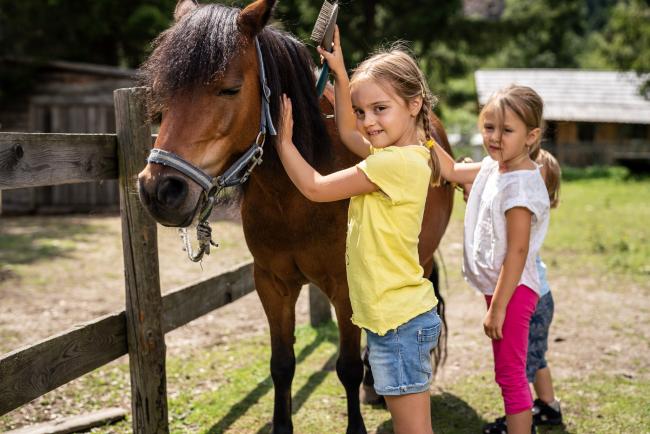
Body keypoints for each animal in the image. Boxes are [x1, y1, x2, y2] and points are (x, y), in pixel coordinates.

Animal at [137, 1, 450, 432]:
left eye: (230, 88)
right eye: (163, 91)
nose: (160, 190)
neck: (294, 199)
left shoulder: (346, 287)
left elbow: (347, 366)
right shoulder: (272, 284)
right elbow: (282, 365)